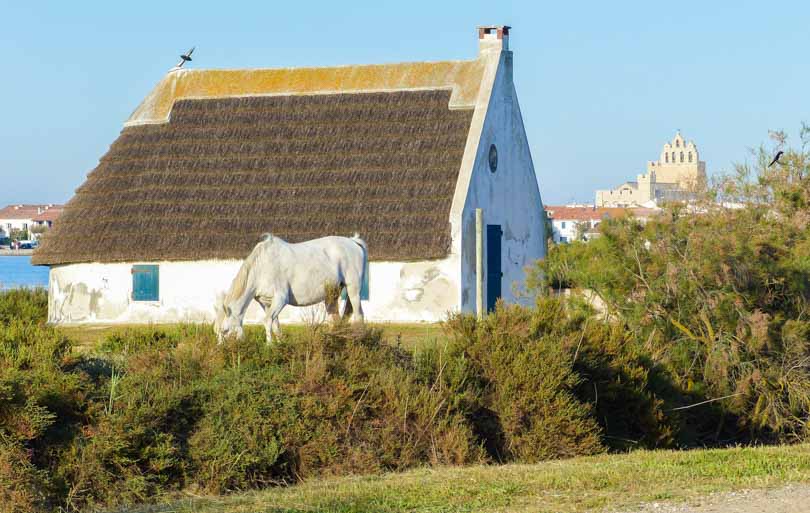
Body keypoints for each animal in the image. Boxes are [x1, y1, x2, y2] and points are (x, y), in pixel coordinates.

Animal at [213, 234, 368, 342]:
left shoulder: (280, 300)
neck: (262, 266)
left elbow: (267, 321)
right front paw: (280, 345)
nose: (221, 352)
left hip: (353, 290)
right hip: (331, 296)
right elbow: (275, 326)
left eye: (225, 331)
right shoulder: (266, 303)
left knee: (359, 316)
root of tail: (353, 241)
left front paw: (269, 345)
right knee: (334, 320)